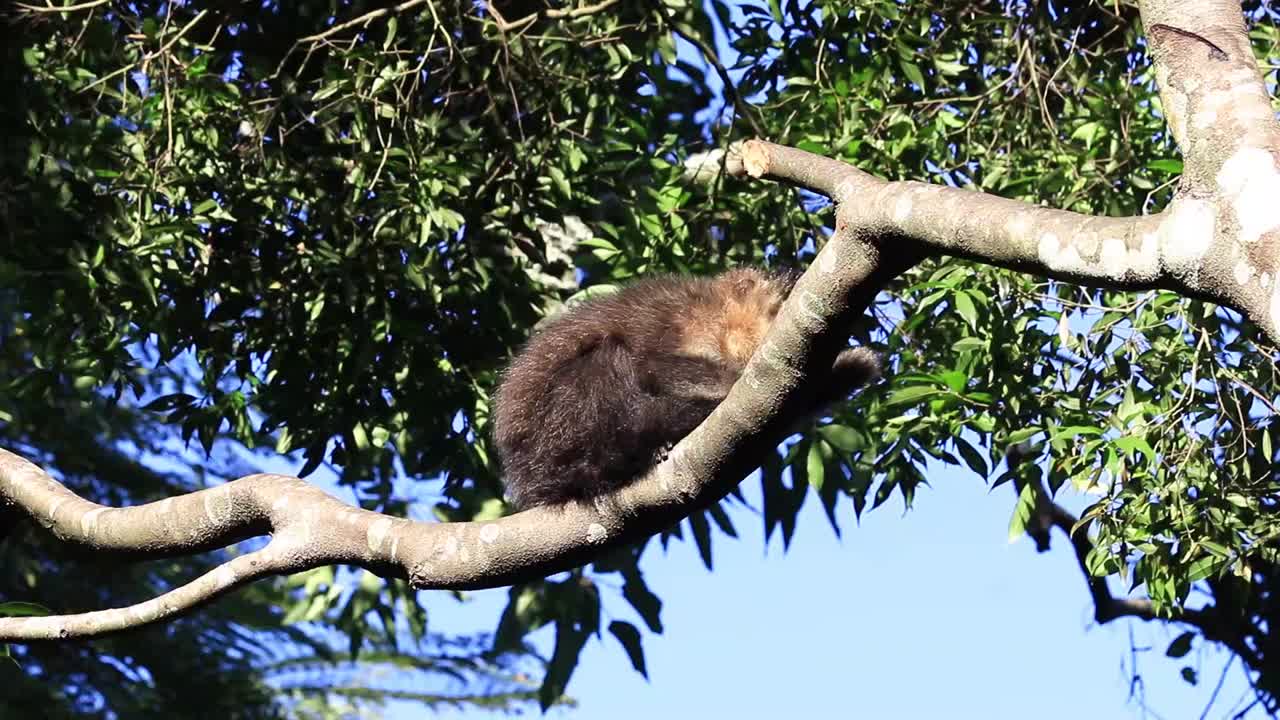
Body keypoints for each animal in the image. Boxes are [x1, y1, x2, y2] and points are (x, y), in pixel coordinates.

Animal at [488, 266, 880, 507]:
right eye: (777, 312)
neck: (716, 322)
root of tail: (530, 475)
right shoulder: (672, 314)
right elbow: (651, 364)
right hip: (562, 432)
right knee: (605, 357)